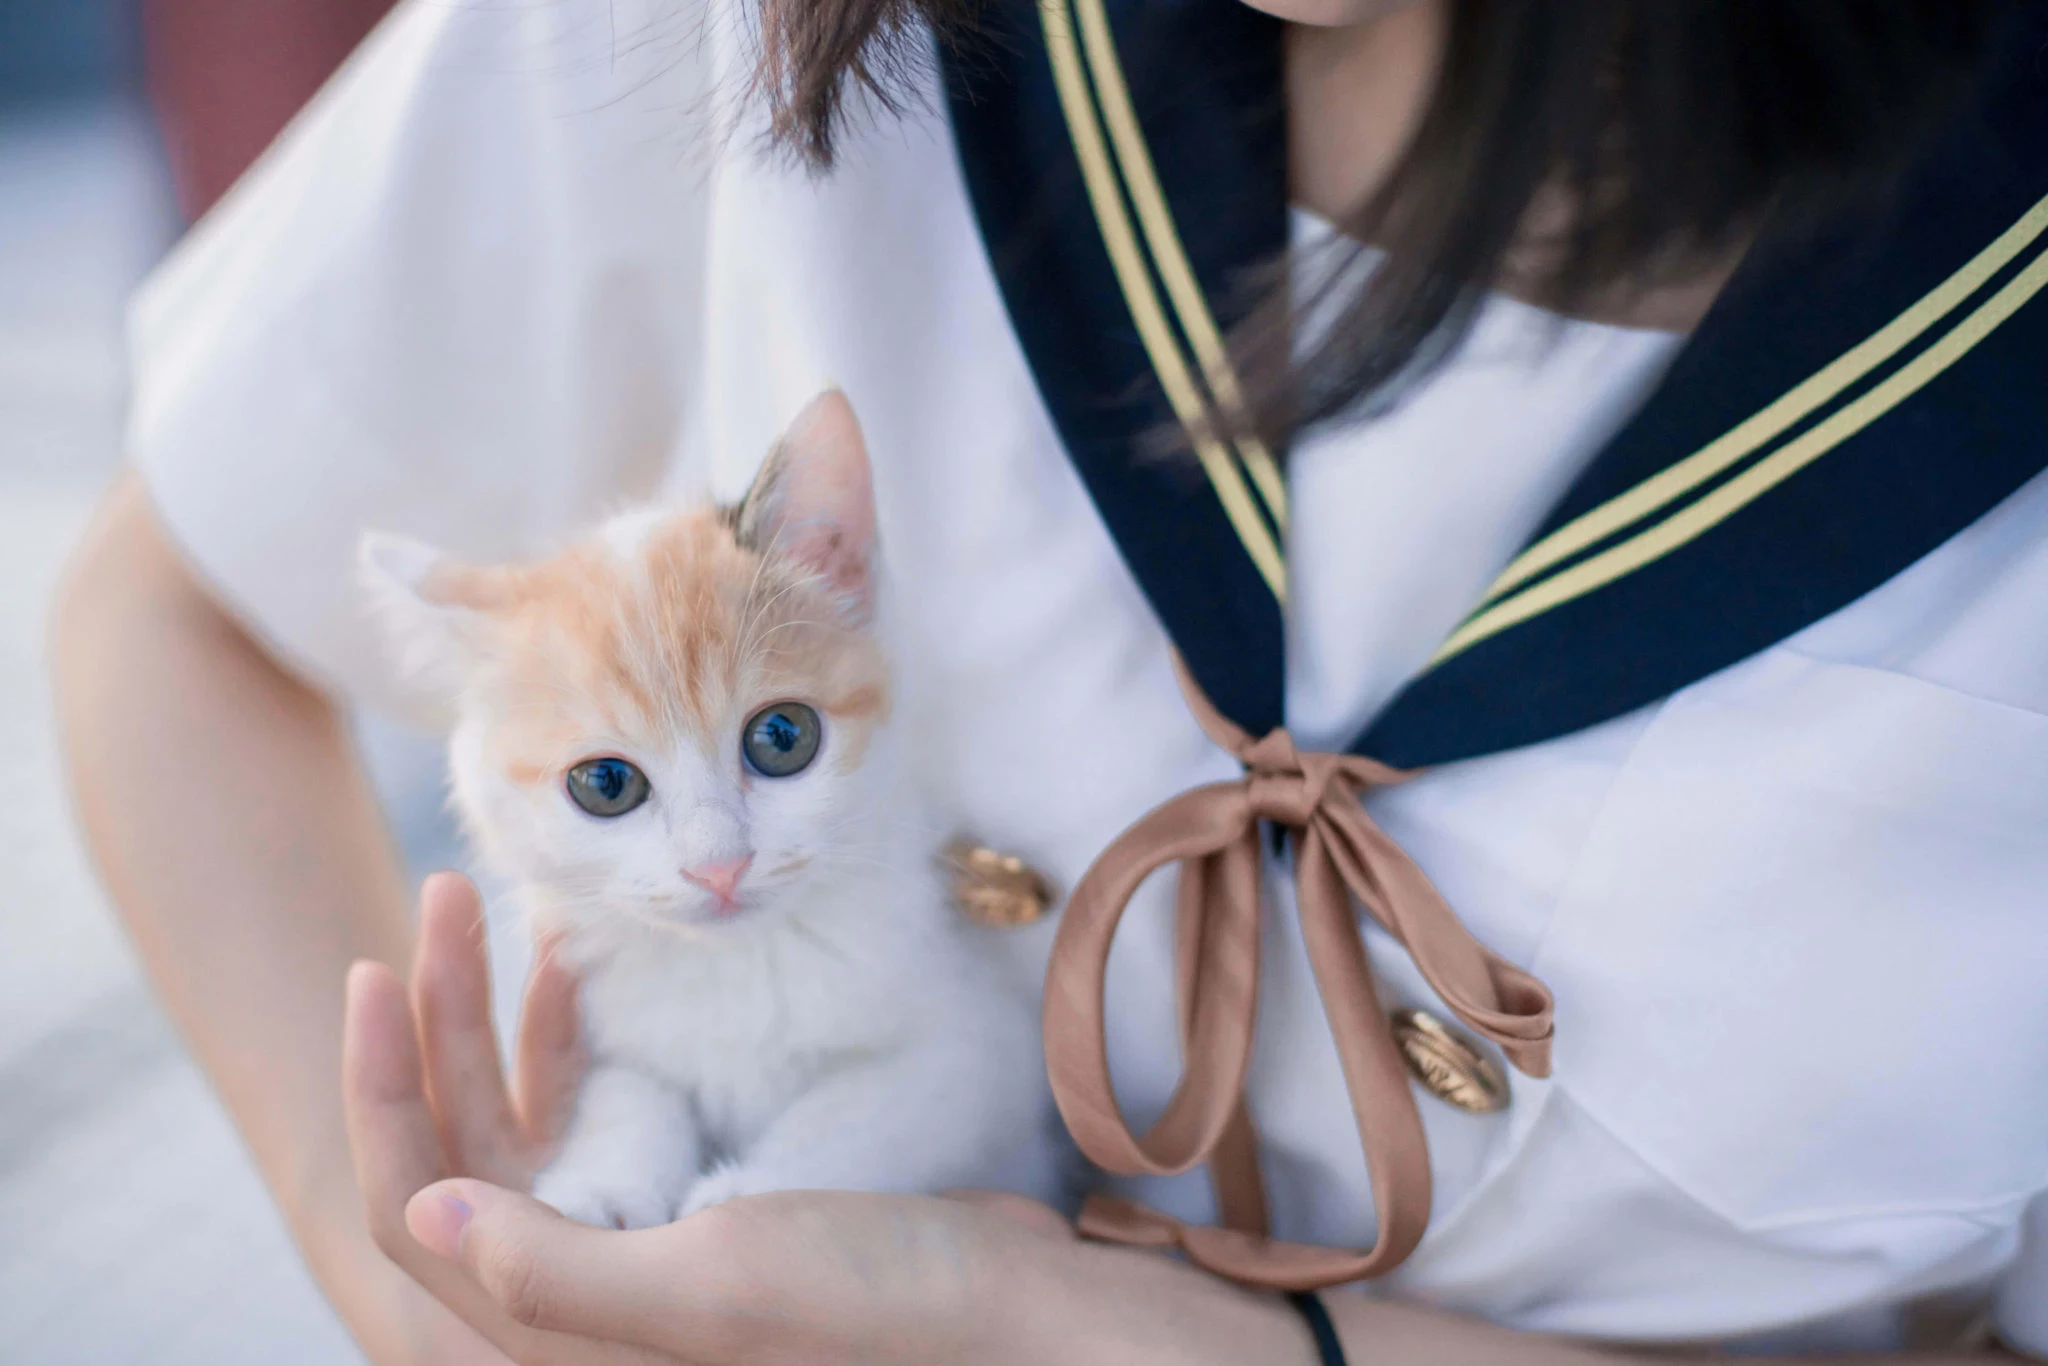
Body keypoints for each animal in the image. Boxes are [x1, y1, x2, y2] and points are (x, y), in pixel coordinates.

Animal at [360, 387, 1056, 1228]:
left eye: (782, 737)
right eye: (605, 785)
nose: (719, 866)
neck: (739, 965)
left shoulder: (984, 1046)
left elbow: (868, 1110)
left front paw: (758, 1189)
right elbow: (629, 1092)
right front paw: (605, 1184)